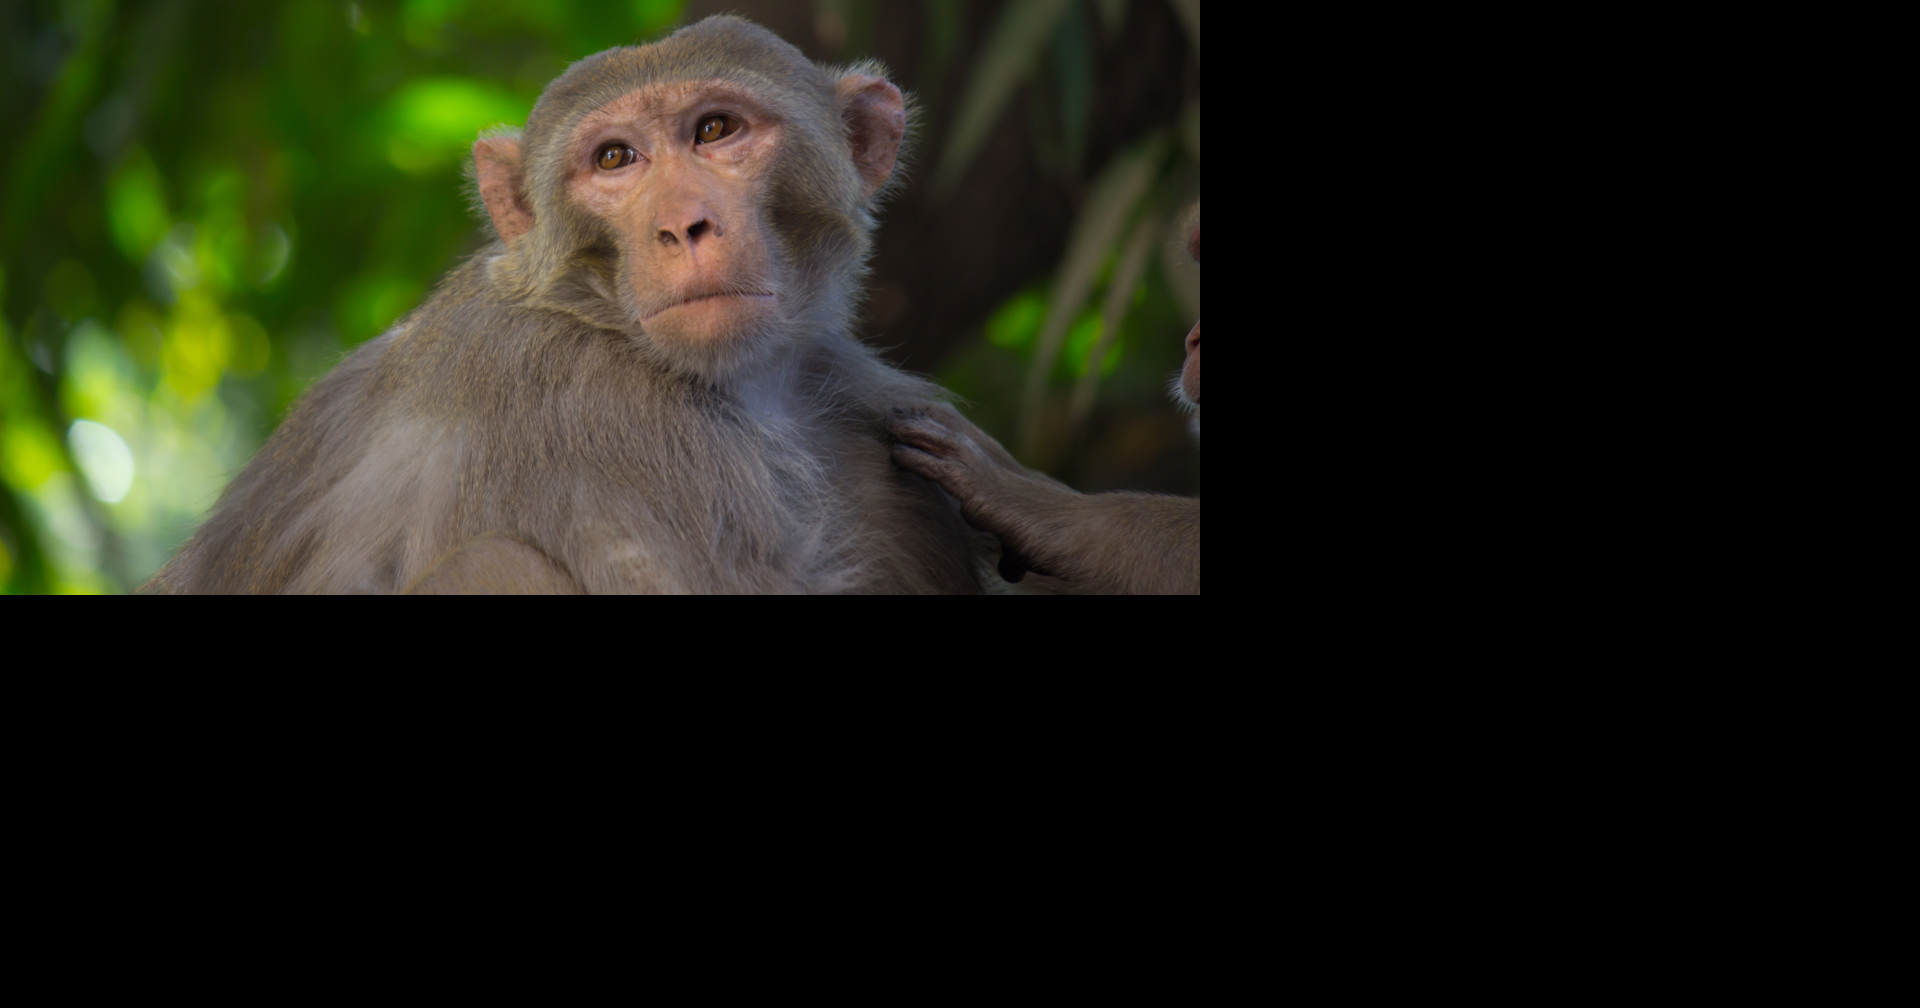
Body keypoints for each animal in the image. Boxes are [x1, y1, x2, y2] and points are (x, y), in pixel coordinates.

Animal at [141, 16, 996, 594]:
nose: (682, 225)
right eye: (615, 158)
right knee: (492, 562)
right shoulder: (599, 415)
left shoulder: (862, 409)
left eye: (715, 129)